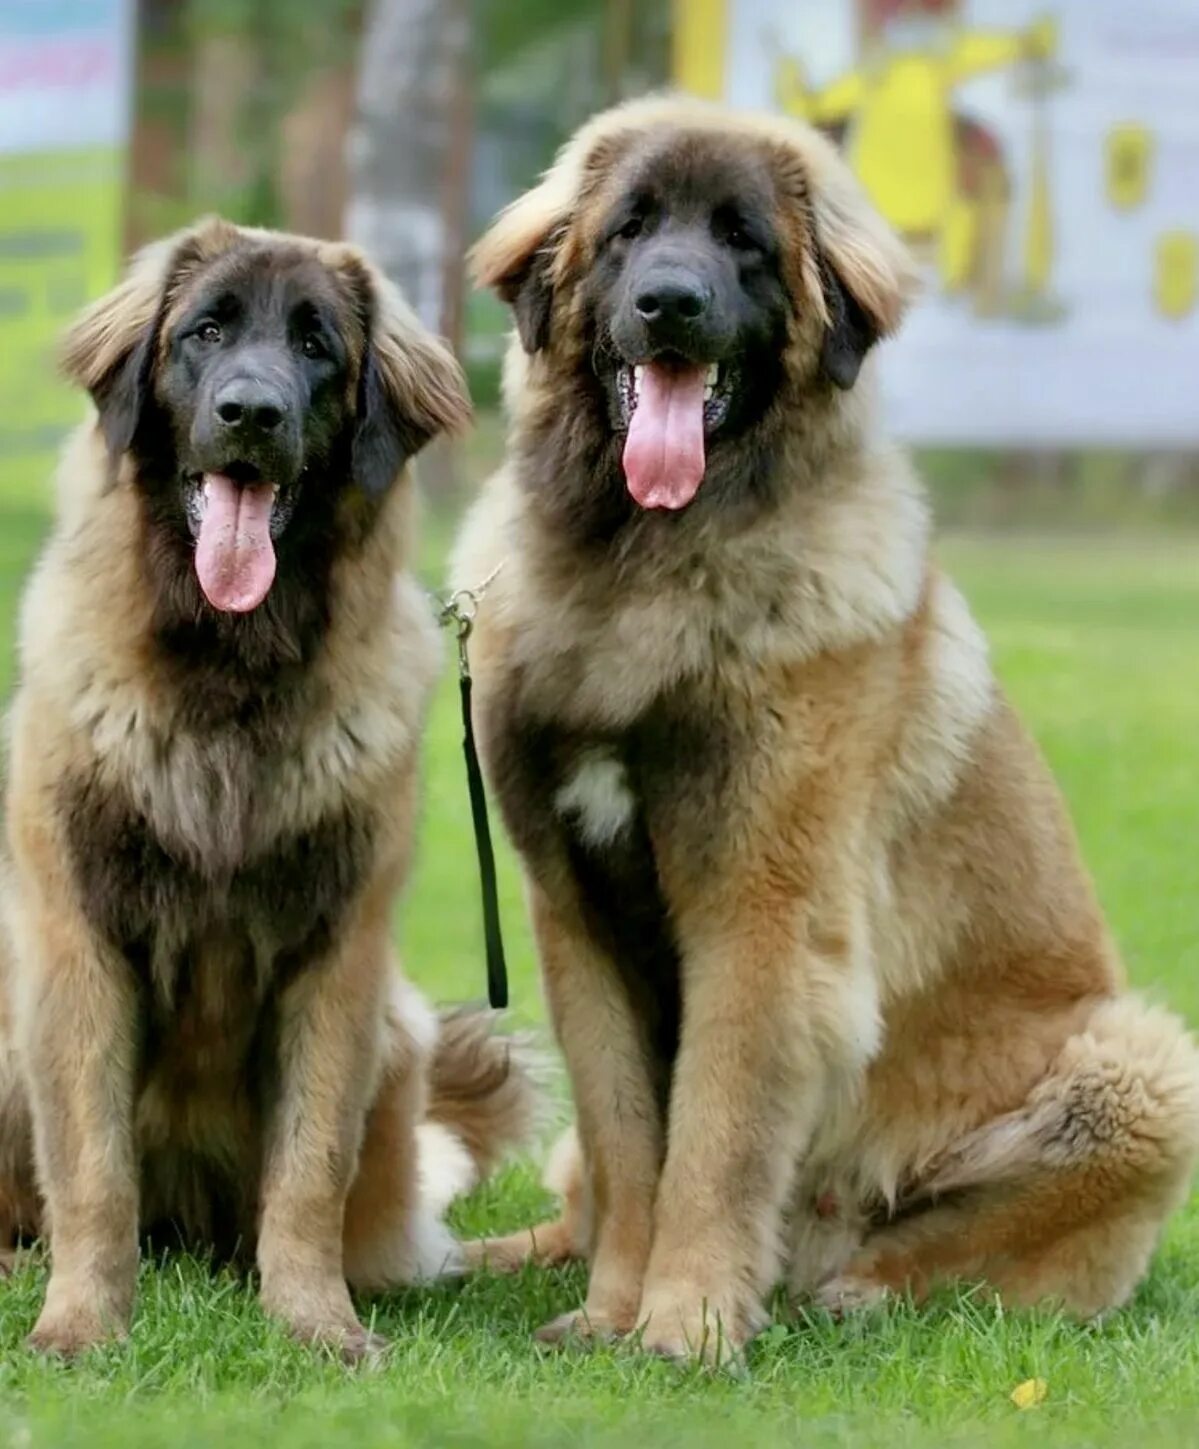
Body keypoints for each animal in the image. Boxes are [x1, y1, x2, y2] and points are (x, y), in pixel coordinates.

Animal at [0, 217, 533, 1356]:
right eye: (205, 332)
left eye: (316, 346)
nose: (252, 413)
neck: (227, 678)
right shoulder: (79, 941)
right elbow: (93, 1167)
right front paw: (80, 1325)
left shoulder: (334, 961)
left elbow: (307, 1169)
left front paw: (315, 1325)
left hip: (397, 1040)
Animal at [449, 96, 1199, 1362]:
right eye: (628, 229)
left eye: (742, 240)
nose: (669, 305)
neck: (643, 566)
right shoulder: (575, 916)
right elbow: (625, 1142)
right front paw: (611, 1310)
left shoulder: (763, 914)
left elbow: (712, 1139)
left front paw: (685, 1323)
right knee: (574, 1194)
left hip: (1141, 1070)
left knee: (937, 1249)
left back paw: (848, 1291)